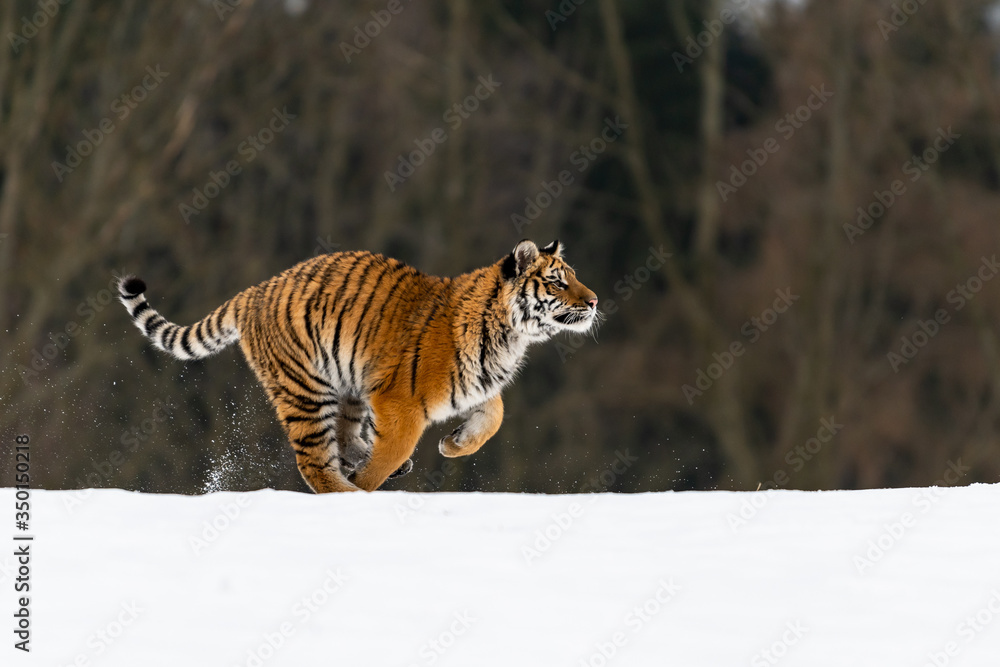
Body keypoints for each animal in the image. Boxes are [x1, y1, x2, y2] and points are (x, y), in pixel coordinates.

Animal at [117, 239, 600, 493]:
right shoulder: (401, 404)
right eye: (558, 281)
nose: (595, 301)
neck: (510, 335)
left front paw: (454, 445)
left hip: (346, 385)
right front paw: (371, 485)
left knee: (344, 438)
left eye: (574, 275)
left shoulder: (472, 385)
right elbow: (392, 451)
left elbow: (495, 415)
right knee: (315, 463)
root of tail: (255, 290)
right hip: (306, 390)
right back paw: (349, 494)